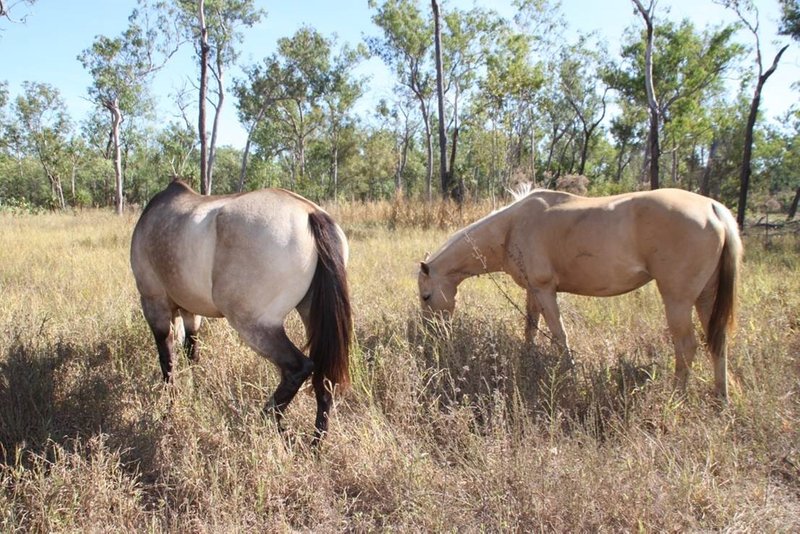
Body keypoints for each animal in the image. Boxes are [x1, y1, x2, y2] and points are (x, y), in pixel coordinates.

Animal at [131, 180, 350, 444]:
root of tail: (310, 212)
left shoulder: (156, 306)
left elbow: (168, 361)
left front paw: (169, 410)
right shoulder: (190, 312)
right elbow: (191, 353)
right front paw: (194, 393)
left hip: (254, 325)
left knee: (298, 367)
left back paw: (270, 424)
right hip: (312, 319)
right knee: (324, 379)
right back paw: (315, 444)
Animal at [422, 186, 740, 400]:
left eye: (426, 297)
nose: (433, 334)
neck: (511, 227)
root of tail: (713, 209)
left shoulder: (545, 290)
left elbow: (559, 336)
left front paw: (569, 374)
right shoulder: (533, 292)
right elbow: (530, 328)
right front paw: (528, 358)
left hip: (678, 300)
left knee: (686, 346)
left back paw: (676, 396)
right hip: (706, 298)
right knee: (717, 342)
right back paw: (721, 398)